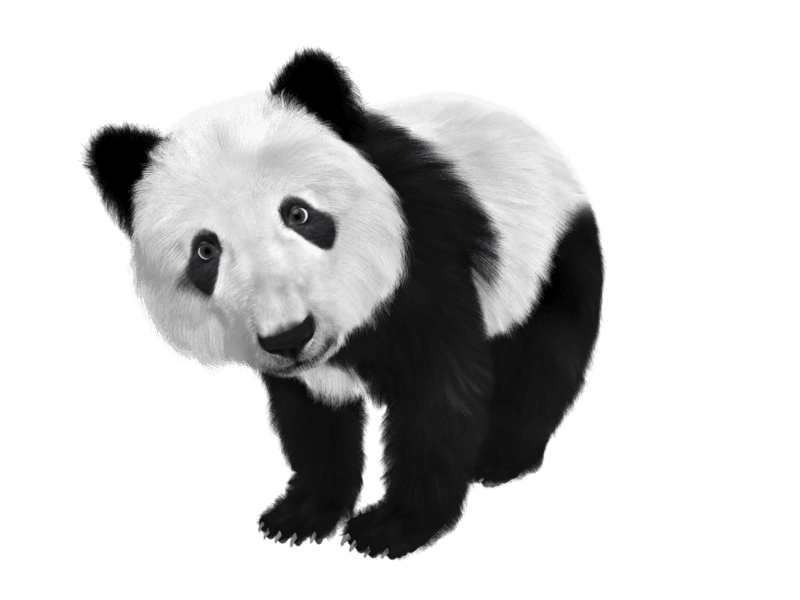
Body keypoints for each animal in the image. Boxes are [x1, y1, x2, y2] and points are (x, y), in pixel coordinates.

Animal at [80, 46, 605, 561]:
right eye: (205, 251)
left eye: (299, 214)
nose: (290, 337)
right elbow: (314, 419)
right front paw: (302, 517)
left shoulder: (427, 261)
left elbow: (435, 397)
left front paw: (390, 528)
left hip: (554, 254)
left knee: (543, 354)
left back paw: (498, 461)